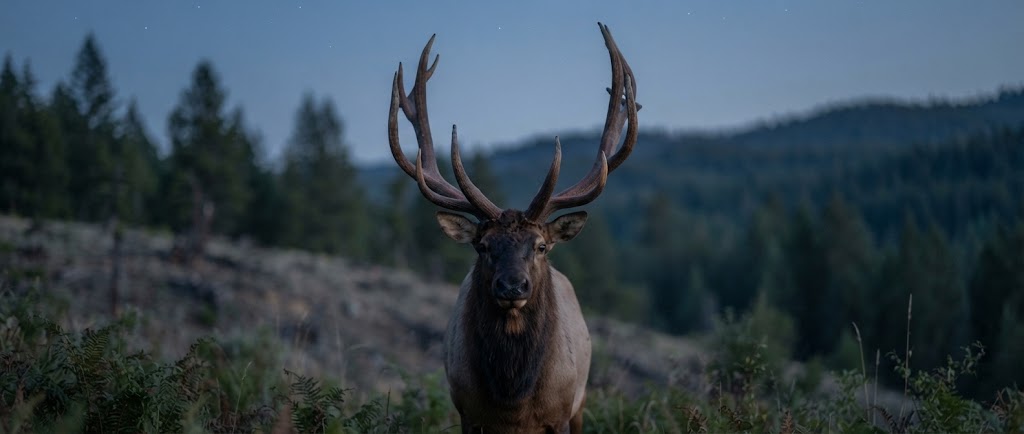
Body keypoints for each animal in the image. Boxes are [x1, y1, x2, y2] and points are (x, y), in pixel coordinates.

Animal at [387, 22, 638, 433]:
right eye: (483, 246)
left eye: (541, 246)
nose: (511, 286)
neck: (513, 401)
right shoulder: (467, 411)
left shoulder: (560, 412)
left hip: (582, 400)